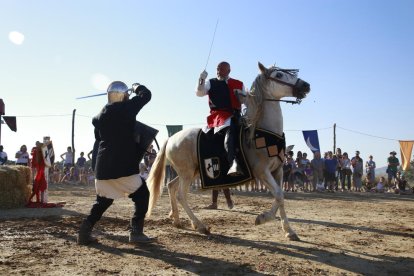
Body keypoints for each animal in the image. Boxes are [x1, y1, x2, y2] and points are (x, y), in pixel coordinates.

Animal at [147, 62, 308, 239]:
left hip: (191, 172)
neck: (262, 132)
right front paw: (263, 218)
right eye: (279, 75)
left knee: (171, 186)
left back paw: (176, 219)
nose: (306, 86)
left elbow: (281, 197)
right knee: (181, 195)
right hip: (187, 173)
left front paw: (289, 230)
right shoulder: (262, 172)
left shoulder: (277, 171)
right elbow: (278, 195)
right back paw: (200, 225)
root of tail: (171, 139)